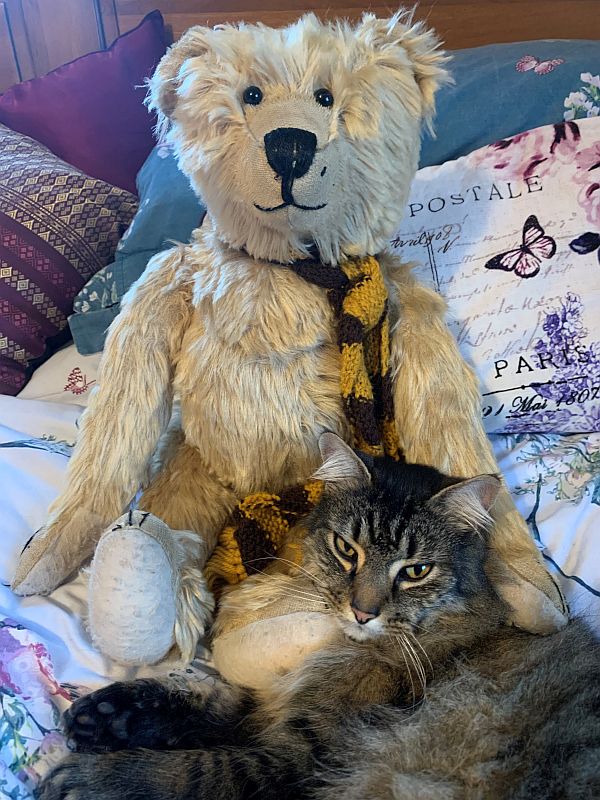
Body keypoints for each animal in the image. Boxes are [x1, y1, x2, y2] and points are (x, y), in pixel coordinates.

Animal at [38, 438, 600, 800]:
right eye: (346, 550)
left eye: (415, 571)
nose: (363, 611)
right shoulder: (280, 710)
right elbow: (208, 702)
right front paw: (110, 714)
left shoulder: (303, 756)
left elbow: (196, 768)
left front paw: (93, 779)